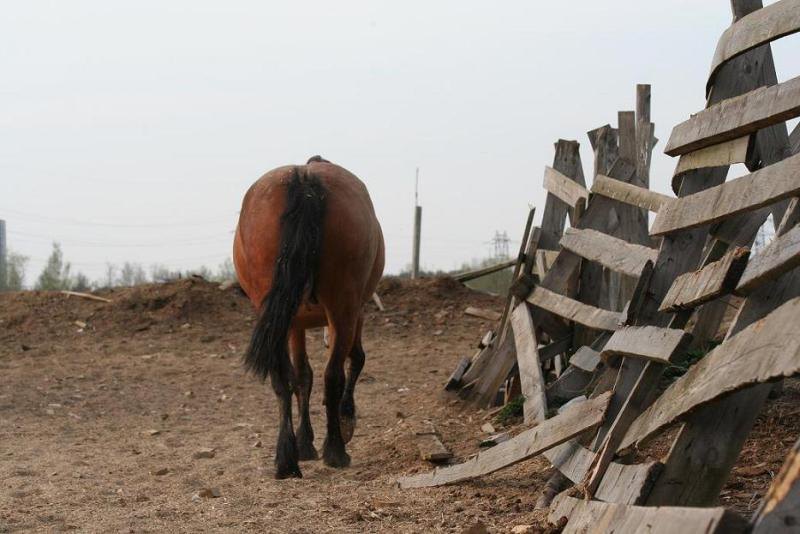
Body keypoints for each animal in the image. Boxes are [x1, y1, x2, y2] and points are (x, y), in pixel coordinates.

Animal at [231, 157, 384, 480]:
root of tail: (304, 177)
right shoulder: (354, 314)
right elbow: (355, 360)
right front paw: (344, 421)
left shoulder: (293, 325)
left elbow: (301, 376)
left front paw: (304, 443)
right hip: (342, 309)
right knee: (333, 374)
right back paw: (336, 450)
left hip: (278, 314)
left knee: (283, 377)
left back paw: (286, 459)